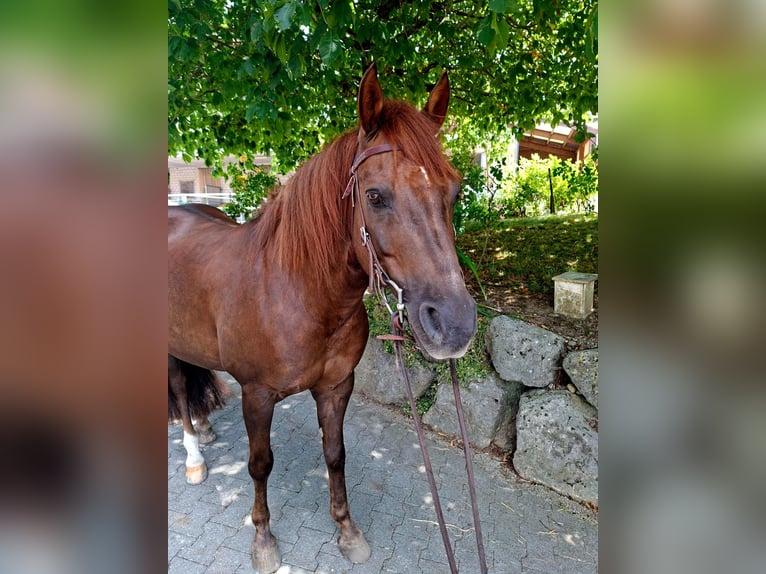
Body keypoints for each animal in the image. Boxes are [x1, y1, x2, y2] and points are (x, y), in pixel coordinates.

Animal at [168, 63, 477, 573]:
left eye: (454, 191)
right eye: (375, 196)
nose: (454, 325)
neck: (300, 295)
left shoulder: (336, 387)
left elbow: (335, 454)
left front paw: (347, 531)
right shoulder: (257, 395)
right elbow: (260, 464)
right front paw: (263, 540)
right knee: (177, 389)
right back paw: (194, 457)